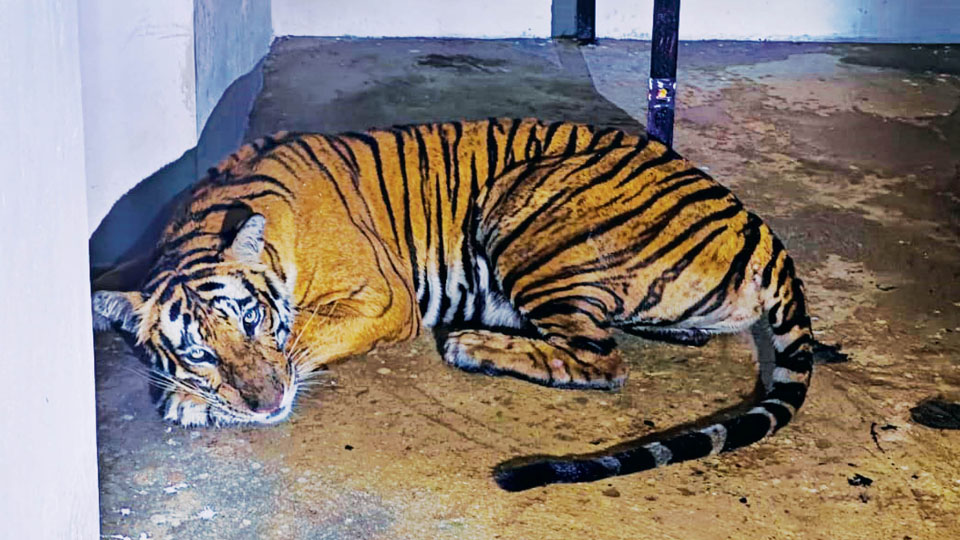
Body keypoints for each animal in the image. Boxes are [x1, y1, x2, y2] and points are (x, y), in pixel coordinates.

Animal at [93, 118, 831, 491]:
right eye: (198, 351)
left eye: (252, 321)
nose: (266, 404)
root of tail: (758, 227)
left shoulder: (383, 299)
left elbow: (305, 337)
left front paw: (194, 401)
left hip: (526, 203)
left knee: (600, 360)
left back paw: (473, 342)